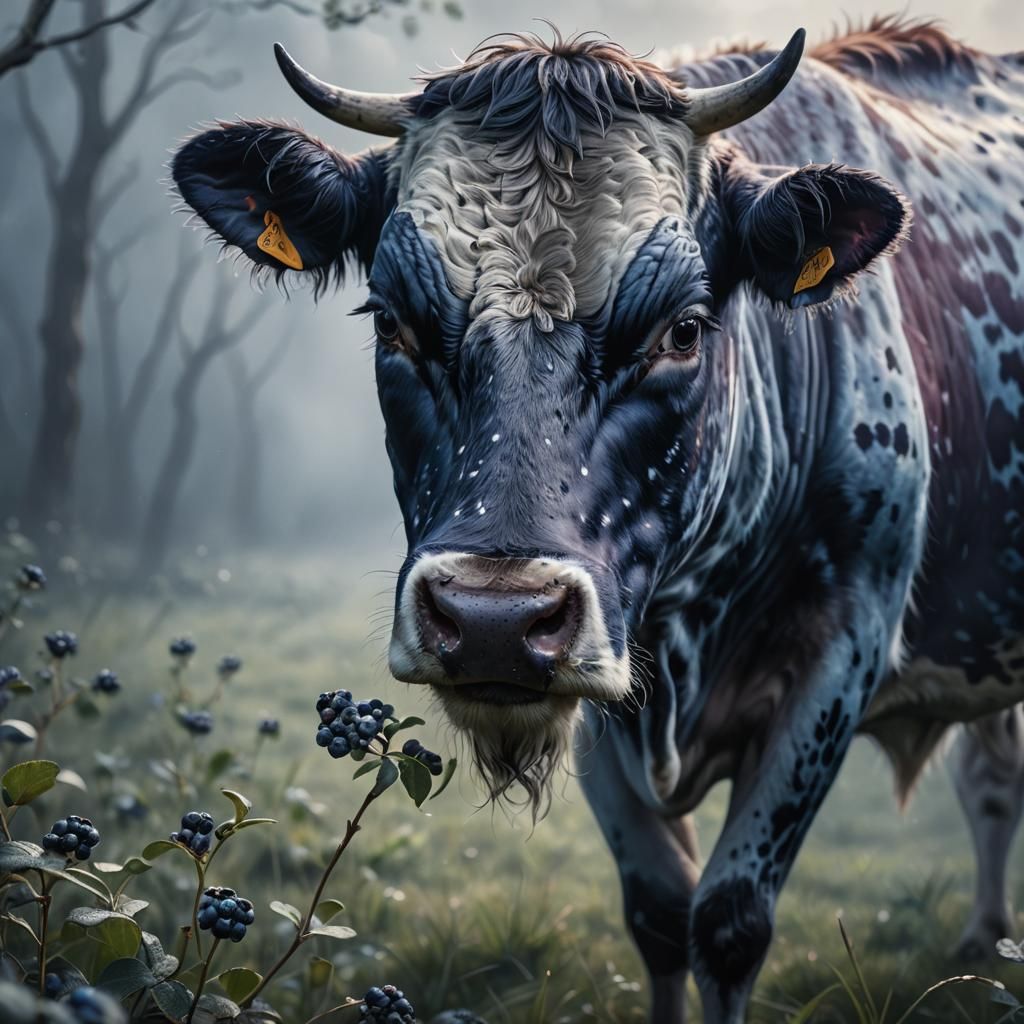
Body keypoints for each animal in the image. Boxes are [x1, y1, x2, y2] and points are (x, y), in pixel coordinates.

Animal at [171, 16, 1024, 1022]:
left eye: (684, 329)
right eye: (390, 323)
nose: (493, 622)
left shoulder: (842, 648)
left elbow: (728, 920)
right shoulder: (605, 675)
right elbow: (659, 908)